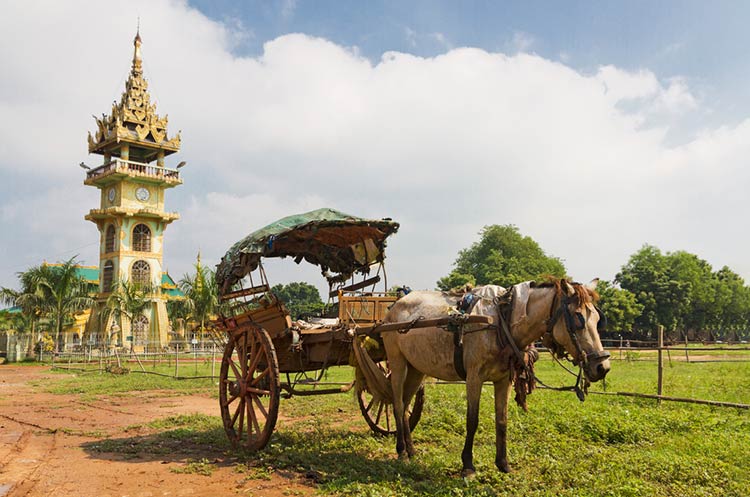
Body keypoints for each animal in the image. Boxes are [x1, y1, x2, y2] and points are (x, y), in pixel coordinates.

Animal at [382, 278, 612, 474]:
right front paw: (468, 465)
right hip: (397, 362)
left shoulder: (504, 380)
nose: (603, 366)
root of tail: (395, 306)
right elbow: (472, 420)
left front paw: (503, 463)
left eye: (597, 319)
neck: (501, 321)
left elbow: (502, 420)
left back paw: (411, 450)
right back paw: (401, 450)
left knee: (405, 405)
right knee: (398, 405)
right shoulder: (474, 378)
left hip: (416, 369)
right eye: (578, 318)